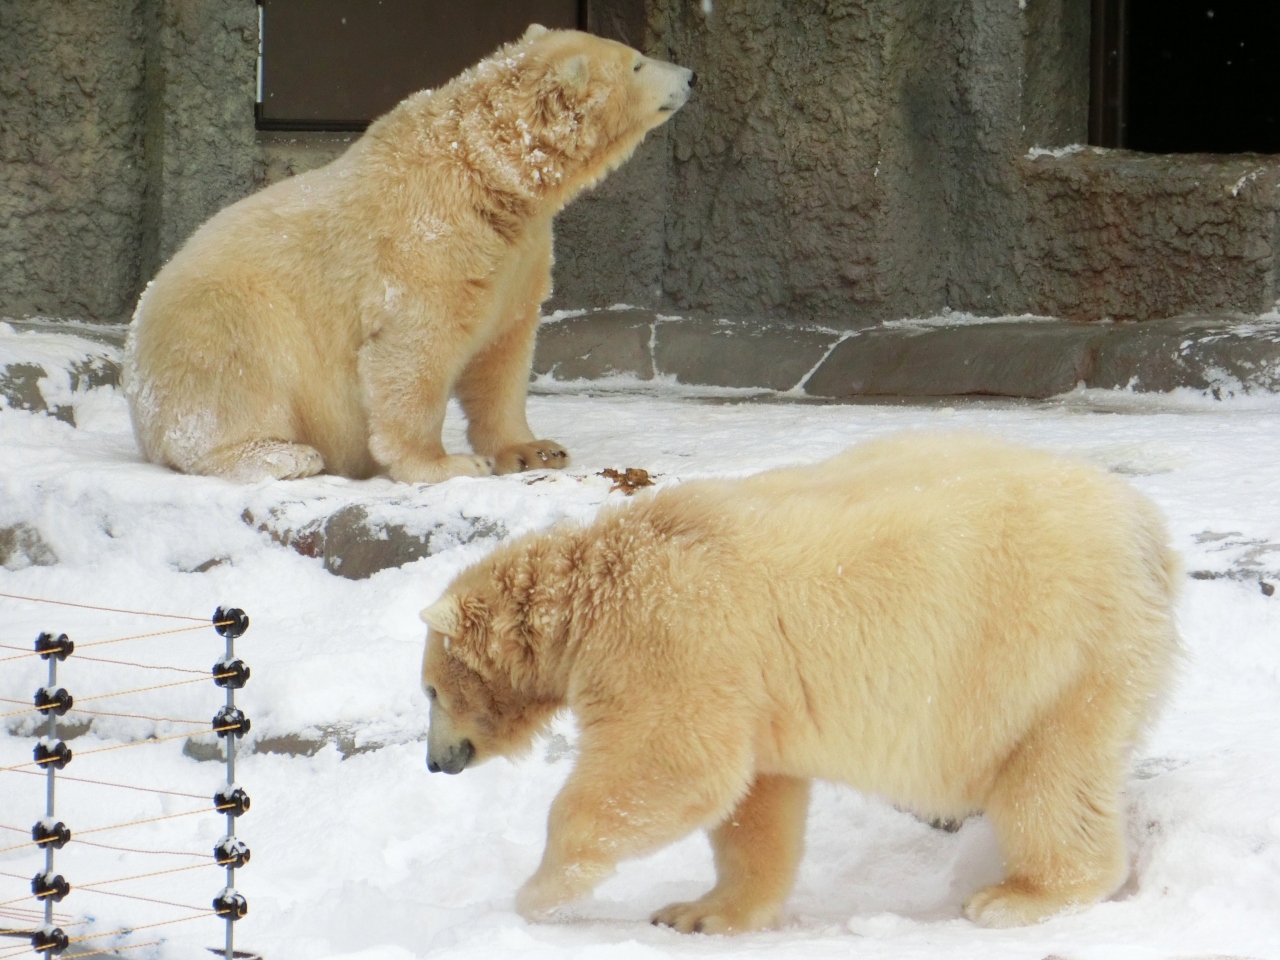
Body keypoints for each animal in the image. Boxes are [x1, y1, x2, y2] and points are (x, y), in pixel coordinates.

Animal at [124, 27, 696, 483]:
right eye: (637, 62)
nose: (691, 75)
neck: (487, 174)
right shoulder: (426, 239)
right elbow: (414, 350)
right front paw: (448, 464)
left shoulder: (517, 255)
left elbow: (504, 352)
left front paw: (536, 449)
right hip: (219, 320)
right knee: (232, 381)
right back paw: (286, 457)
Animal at [417, 435, 1177, 931]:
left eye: (427, 692)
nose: (433, 762)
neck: (597, 583)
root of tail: (1148, 531)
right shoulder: (746, 680)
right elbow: (755, 799)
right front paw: (700, 913)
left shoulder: (668, 637)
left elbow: (666, 766)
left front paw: (539, 894)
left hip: (1050, 651)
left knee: (1051, 775)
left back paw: (1015, 897)